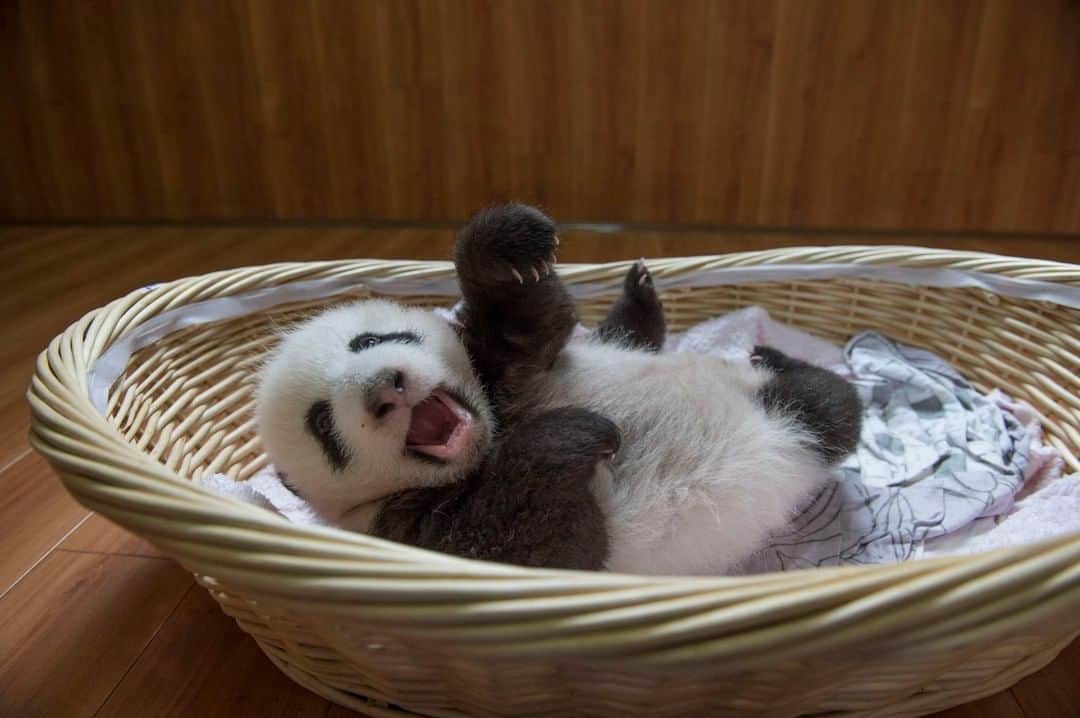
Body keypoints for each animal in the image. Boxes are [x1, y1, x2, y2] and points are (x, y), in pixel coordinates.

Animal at [256, 204, 862, 575]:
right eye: (323, 425)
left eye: (372, 339)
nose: (388, 387)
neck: (494, 435)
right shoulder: (404, 532)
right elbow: (542, 543)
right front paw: (579, 435)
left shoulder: (506, 370)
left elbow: (535, 324)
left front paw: (510, 246)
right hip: (798, 425)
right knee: (834, 406)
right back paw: (790, 367)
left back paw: (749, 346)